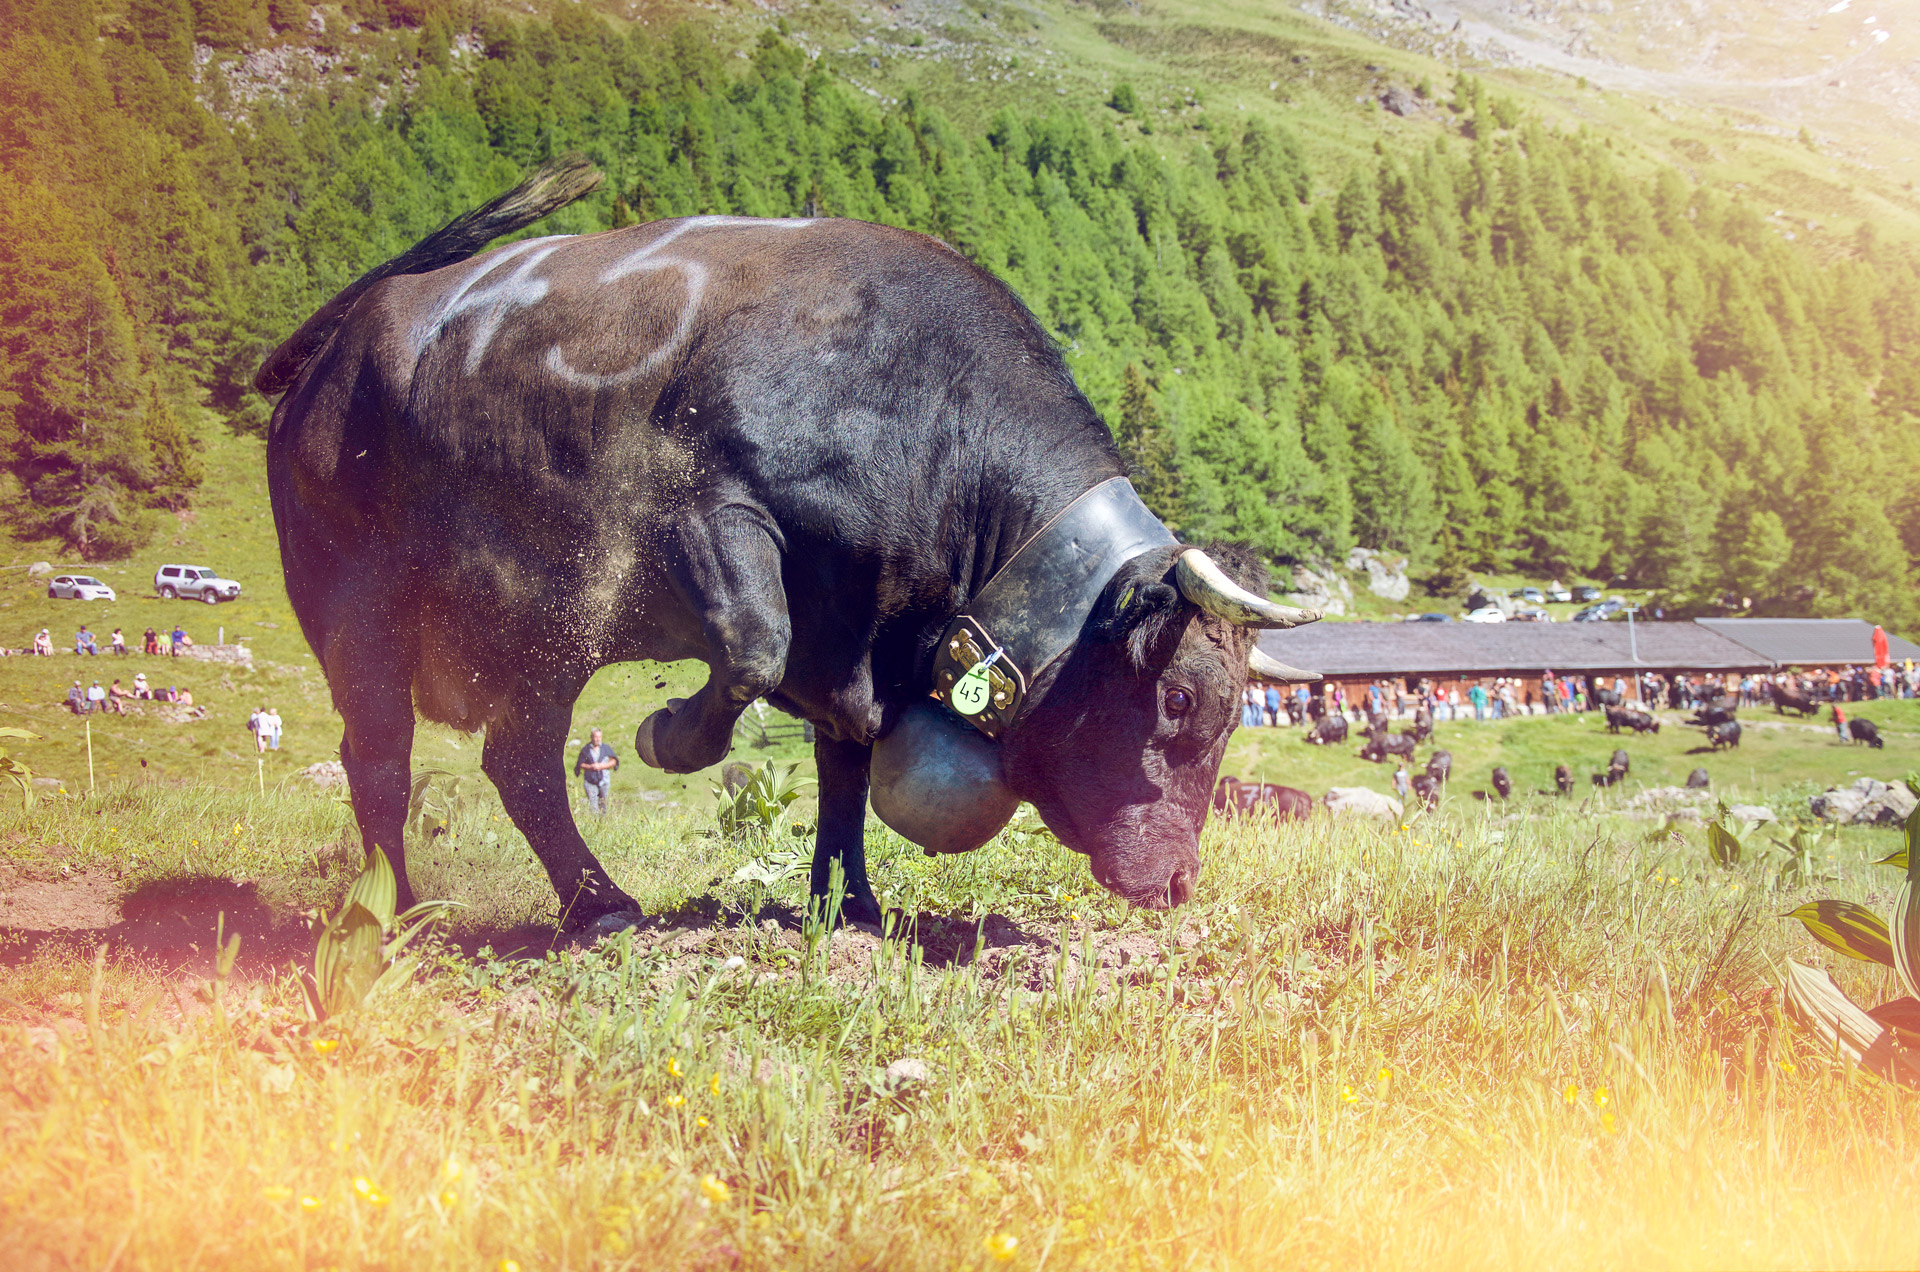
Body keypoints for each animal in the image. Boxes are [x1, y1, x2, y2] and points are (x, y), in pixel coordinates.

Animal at [259, 169, 1320, 933]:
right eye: (1179, 699)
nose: (1178, 883)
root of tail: (350, 329)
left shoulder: (857, 640)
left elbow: (843, 777)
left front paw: (848, 906)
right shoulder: (707, 522)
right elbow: (750, 647)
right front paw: (671, 735)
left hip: (544, 635)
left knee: (517, 764)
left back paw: (597, 906)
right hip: (360, 613)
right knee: (381, 762)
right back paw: (392, 913)